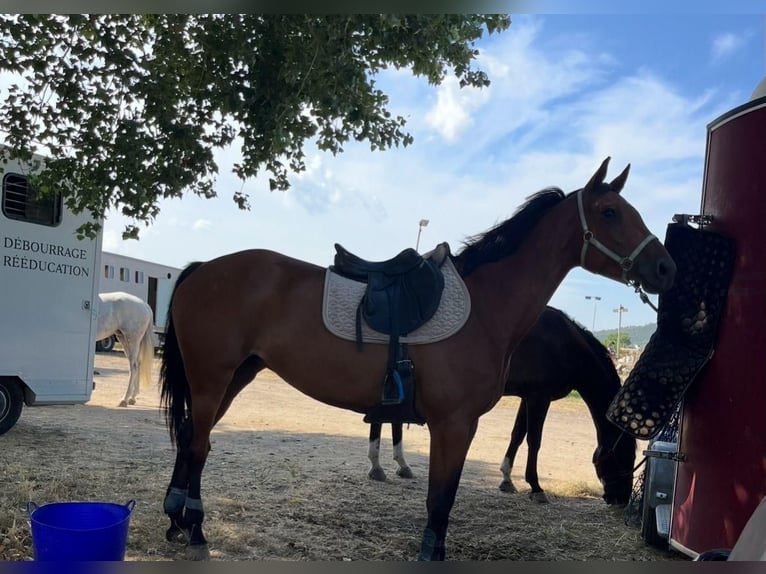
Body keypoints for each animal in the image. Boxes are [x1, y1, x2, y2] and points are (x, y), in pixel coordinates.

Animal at [367, 305, 637, 507]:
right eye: (626, 455)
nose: (620, 499)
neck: (564, 345)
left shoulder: (528, 397)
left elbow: (518, 434)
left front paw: (507, 479)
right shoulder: (539, 397)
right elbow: (534, 440)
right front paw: (536, 487)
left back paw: (399, 465)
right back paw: (378, 467)